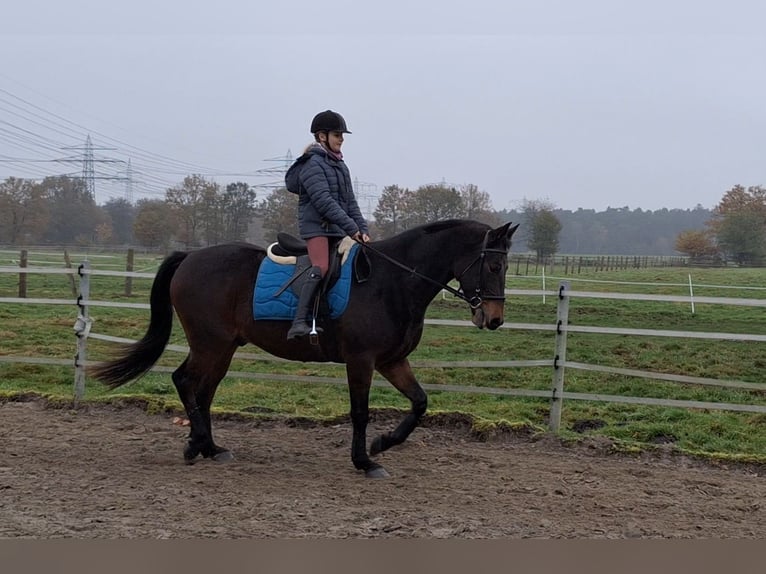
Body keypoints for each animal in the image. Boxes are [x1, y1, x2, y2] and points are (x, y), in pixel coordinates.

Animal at [88, 218, 520, 480]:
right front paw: (365, 461)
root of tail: (190, 257)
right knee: (185, 382)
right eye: (494, 266)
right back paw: (199, 444)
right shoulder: (361, 360)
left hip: (223, 348)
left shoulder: (393, 360)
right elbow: (360, 412)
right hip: (211, 343)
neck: (393, 280)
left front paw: (383, 443)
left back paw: (208, 447)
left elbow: (419, 403)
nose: (494, 318)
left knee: (203, 391)